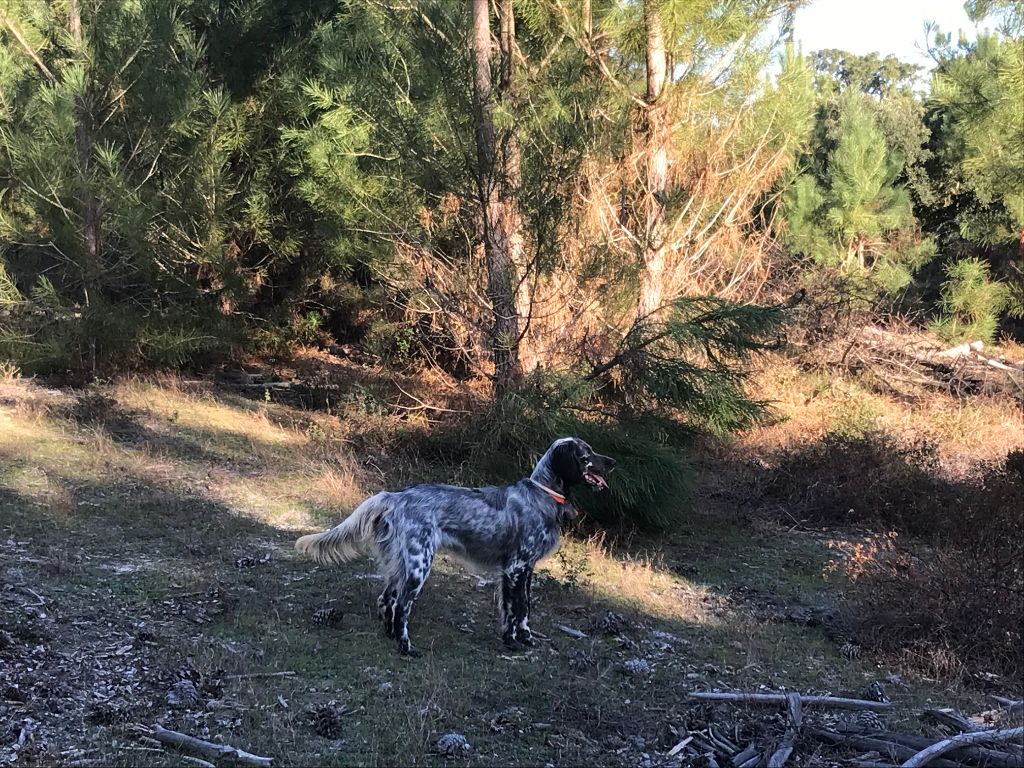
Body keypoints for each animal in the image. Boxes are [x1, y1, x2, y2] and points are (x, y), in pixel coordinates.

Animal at [296, 438, 614, 655]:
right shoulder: (514, 568)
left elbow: (524, 607)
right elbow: (514, 608)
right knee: (402, 606)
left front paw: (525, 637)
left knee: (386, 600)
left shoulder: (526, 569)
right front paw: (511, 641)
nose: (612, 462)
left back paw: (390, 636)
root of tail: (395, 496)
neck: (542, 495)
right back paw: (406, 647)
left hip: (400, 564)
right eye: (586, 454)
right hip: (419, 563)